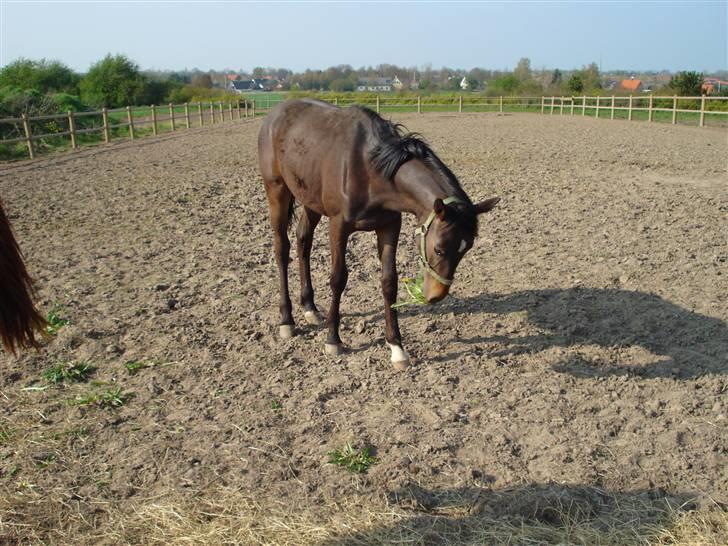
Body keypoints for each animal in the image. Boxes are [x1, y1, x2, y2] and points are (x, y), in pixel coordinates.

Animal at [258, 99, 500, 368]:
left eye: (465, 249)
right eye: (438, 249)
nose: (436, 295)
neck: (370, 169)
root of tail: (275, 113)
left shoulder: (389, 227)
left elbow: (389, 281)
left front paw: (396, 347)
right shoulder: (338, 226)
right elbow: (338, 278)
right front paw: (333, 339)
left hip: (310, 199)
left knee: (304, 241)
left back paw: (310, 307)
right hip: (277, 191)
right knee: (282, 249)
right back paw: (287, 320)